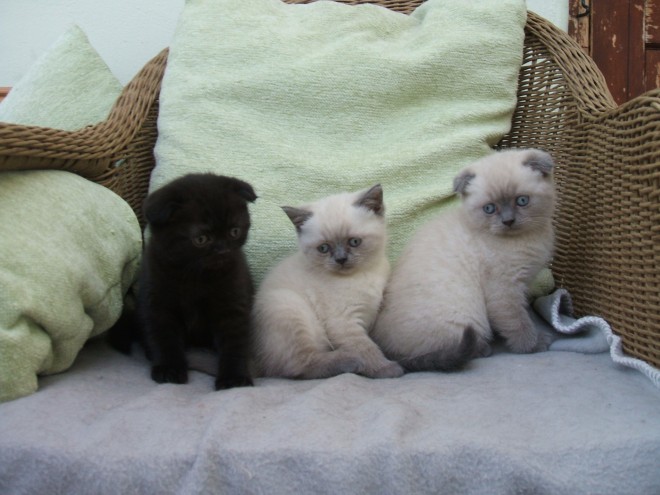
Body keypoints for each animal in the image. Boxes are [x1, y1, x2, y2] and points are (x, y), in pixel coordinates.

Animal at [125, 174, 256, 392]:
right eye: (201, 239)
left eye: (234, 231)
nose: (223, 251)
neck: (195, 276)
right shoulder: (157, 300)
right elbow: (163, 337)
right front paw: (169, 369)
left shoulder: (233, 300)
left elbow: (235, 341)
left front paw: (233, 378)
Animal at [253, 185, 404, 380]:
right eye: (324, 248)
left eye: (354, 242)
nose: (341, 259)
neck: (362, 275)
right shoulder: (344, 320)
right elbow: (366, 347)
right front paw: (385, 369)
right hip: (289, 306)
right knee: (300, 365)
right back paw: (350, 361)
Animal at [372, 149, 556, 370]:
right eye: (489, 209)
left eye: (521, 200)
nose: (508, 221)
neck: (525, 239)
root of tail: (388, 353)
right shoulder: (504, 290)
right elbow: (518, 322)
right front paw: (533, 345)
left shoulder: (522, 283)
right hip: (467, 316)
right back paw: (483, 349)